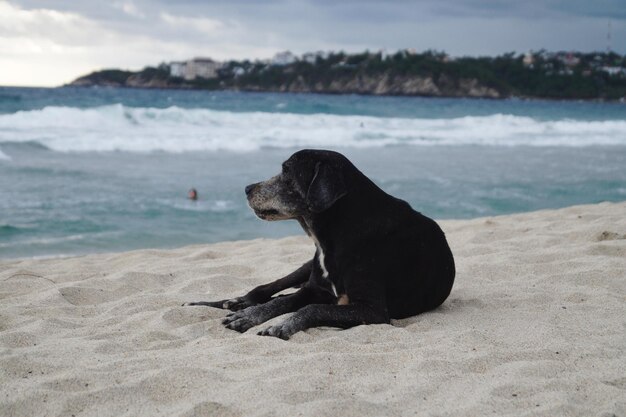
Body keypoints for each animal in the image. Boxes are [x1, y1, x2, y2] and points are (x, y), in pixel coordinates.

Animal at [184, 150, 454, 338]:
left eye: (287, 172)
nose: (247, 188)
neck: (334, 235)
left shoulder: (372, 310)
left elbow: (311, 309)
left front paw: (282, 325)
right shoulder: (313, 289)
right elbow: (281, 302)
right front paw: (250, 316)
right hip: (303, 268)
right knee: (264, 290)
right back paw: (224, 303)